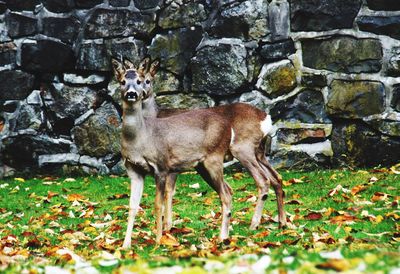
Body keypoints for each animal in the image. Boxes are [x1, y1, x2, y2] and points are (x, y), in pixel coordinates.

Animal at [111, 57, 234, 248]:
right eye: (122, 82)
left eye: (140, 81)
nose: (132, 93)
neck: (141, 138)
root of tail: (229, 128)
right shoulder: (134, 170)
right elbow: (132, 206)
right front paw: (125, 245)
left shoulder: (161, 166)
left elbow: (158, 204)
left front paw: (159, 240)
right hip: (202, 166)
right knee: (227, 189)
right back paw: (225, 236)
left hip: (214, 157)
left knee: (226, 194)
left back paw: (221, 238)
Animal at [138, 57, 288, 233]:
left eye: (147, 80)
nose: (138, 93)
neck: (155, 115)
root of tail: (266, 118)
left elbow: (169, 190)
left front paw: (167, 227)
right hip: (259, 152)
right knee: (276, 177)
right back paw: (281, 222)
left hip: (242, 148)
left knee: (263, 181)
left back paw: (254, 224)